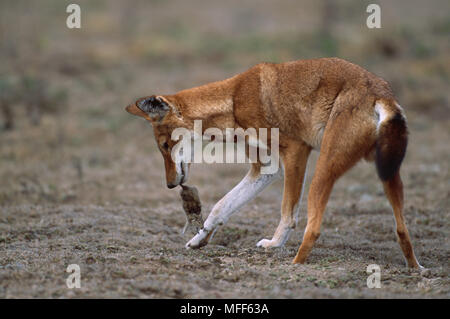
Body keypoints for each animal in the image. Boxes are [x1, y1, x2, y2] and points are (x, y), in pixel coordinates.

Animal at [125, 58, 422, 268]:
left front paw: (274, 244)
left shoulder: (295, 154)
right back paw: (416, 270)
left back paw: (295, 265)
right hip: (388, 174)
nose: (169, 184)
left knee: (313, 228)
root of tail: (380, 92)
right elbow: (221, 207)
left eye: (165, 146)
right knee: (402, 229)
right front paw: (199, 239)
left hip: (322, 172)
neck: (232, 101)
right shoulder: (265, 169)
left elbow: (287, 214)